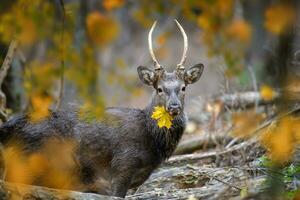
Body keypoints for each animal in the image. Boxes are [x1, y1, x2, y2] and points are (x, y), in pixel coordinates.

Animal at [0, 19, 204, 198]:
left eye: (183, 88)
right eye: (159, 89)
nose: (174, 107)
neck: (152, 142)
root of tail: (8, 128)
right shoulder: (122, 165)